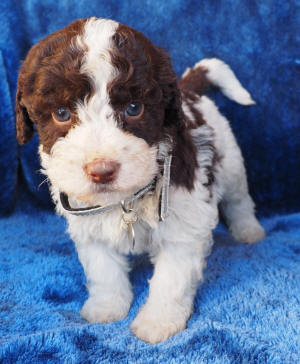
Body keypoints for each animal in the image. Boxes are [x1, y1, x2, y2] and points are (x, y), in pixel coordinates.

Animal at [16, 17, 264, 344]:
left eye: (134, 109)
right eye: (61, 113)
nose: (101, 170)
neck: (126, 199)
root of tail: (188, 89)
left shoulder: (183, 223)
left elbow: (172, 280)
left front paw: (158, 322)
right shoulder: (89, 226)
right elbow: (103, 270)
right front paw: (107, 307)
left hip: (231, 160)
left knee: (238, 199)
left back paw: (249, 231)